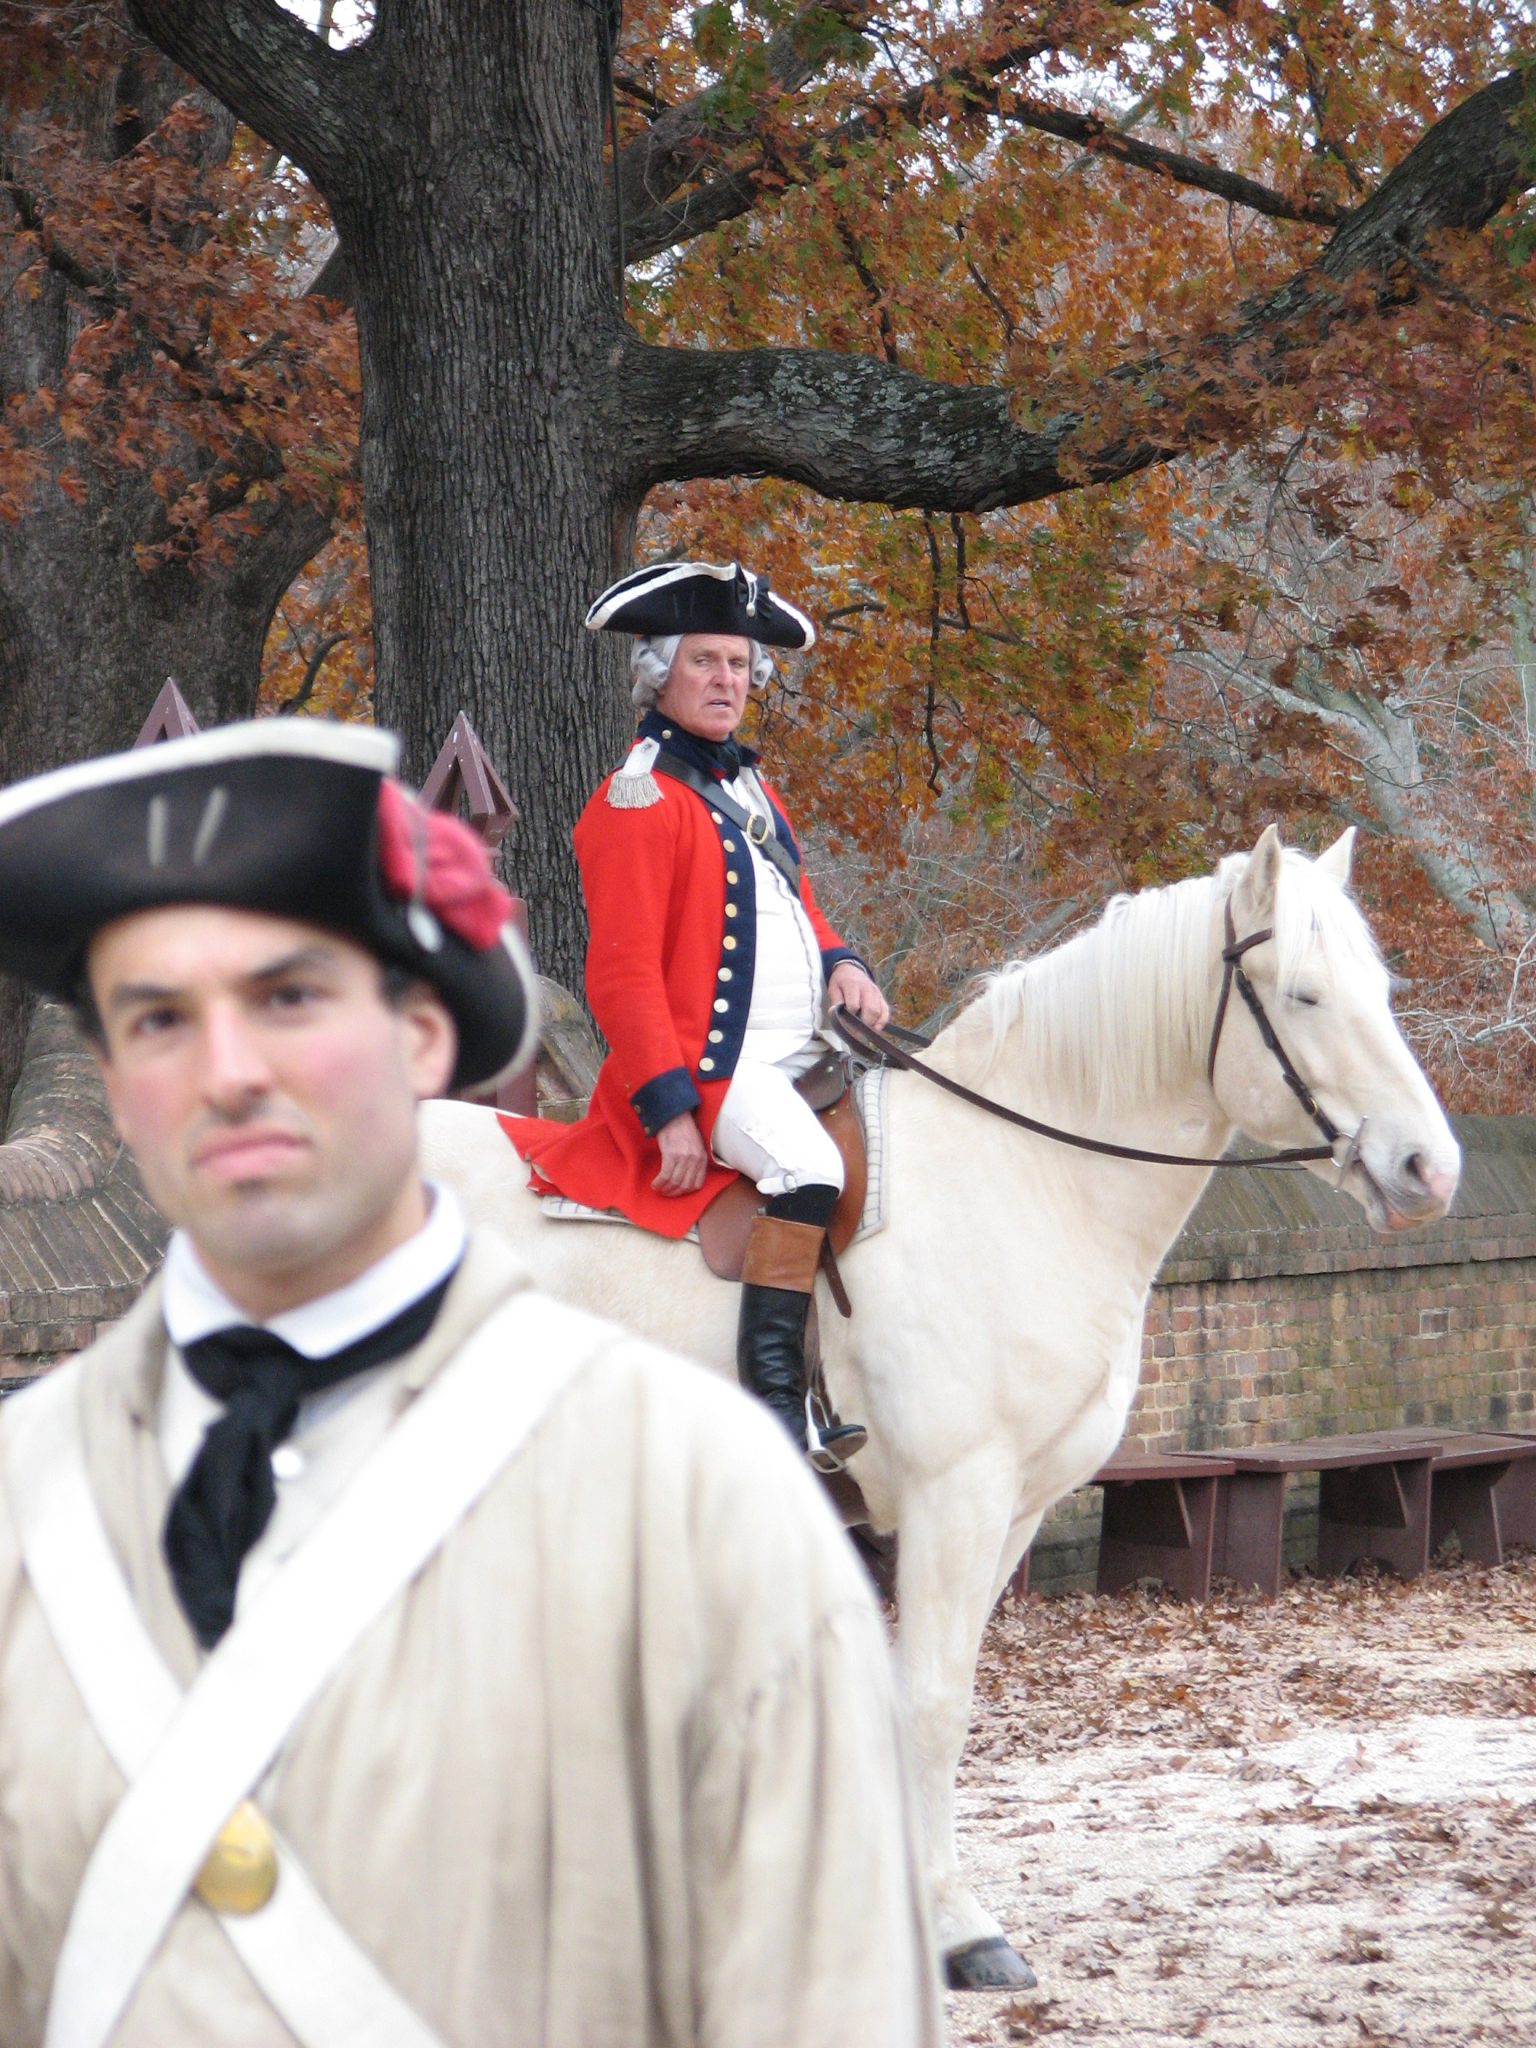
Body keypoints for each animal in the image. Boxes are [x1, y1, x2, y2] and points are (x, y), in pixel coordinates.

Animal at [417, 827, 1458, 1982]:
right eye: (1306, 994)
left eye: (1382, 988)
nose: (1430, 1167)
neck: (1027, 1180)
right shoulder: (954, 1498)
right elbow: (931, 1702)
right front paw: (958, 1927)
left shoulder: (1016, 1510)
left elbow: (940, 1694)